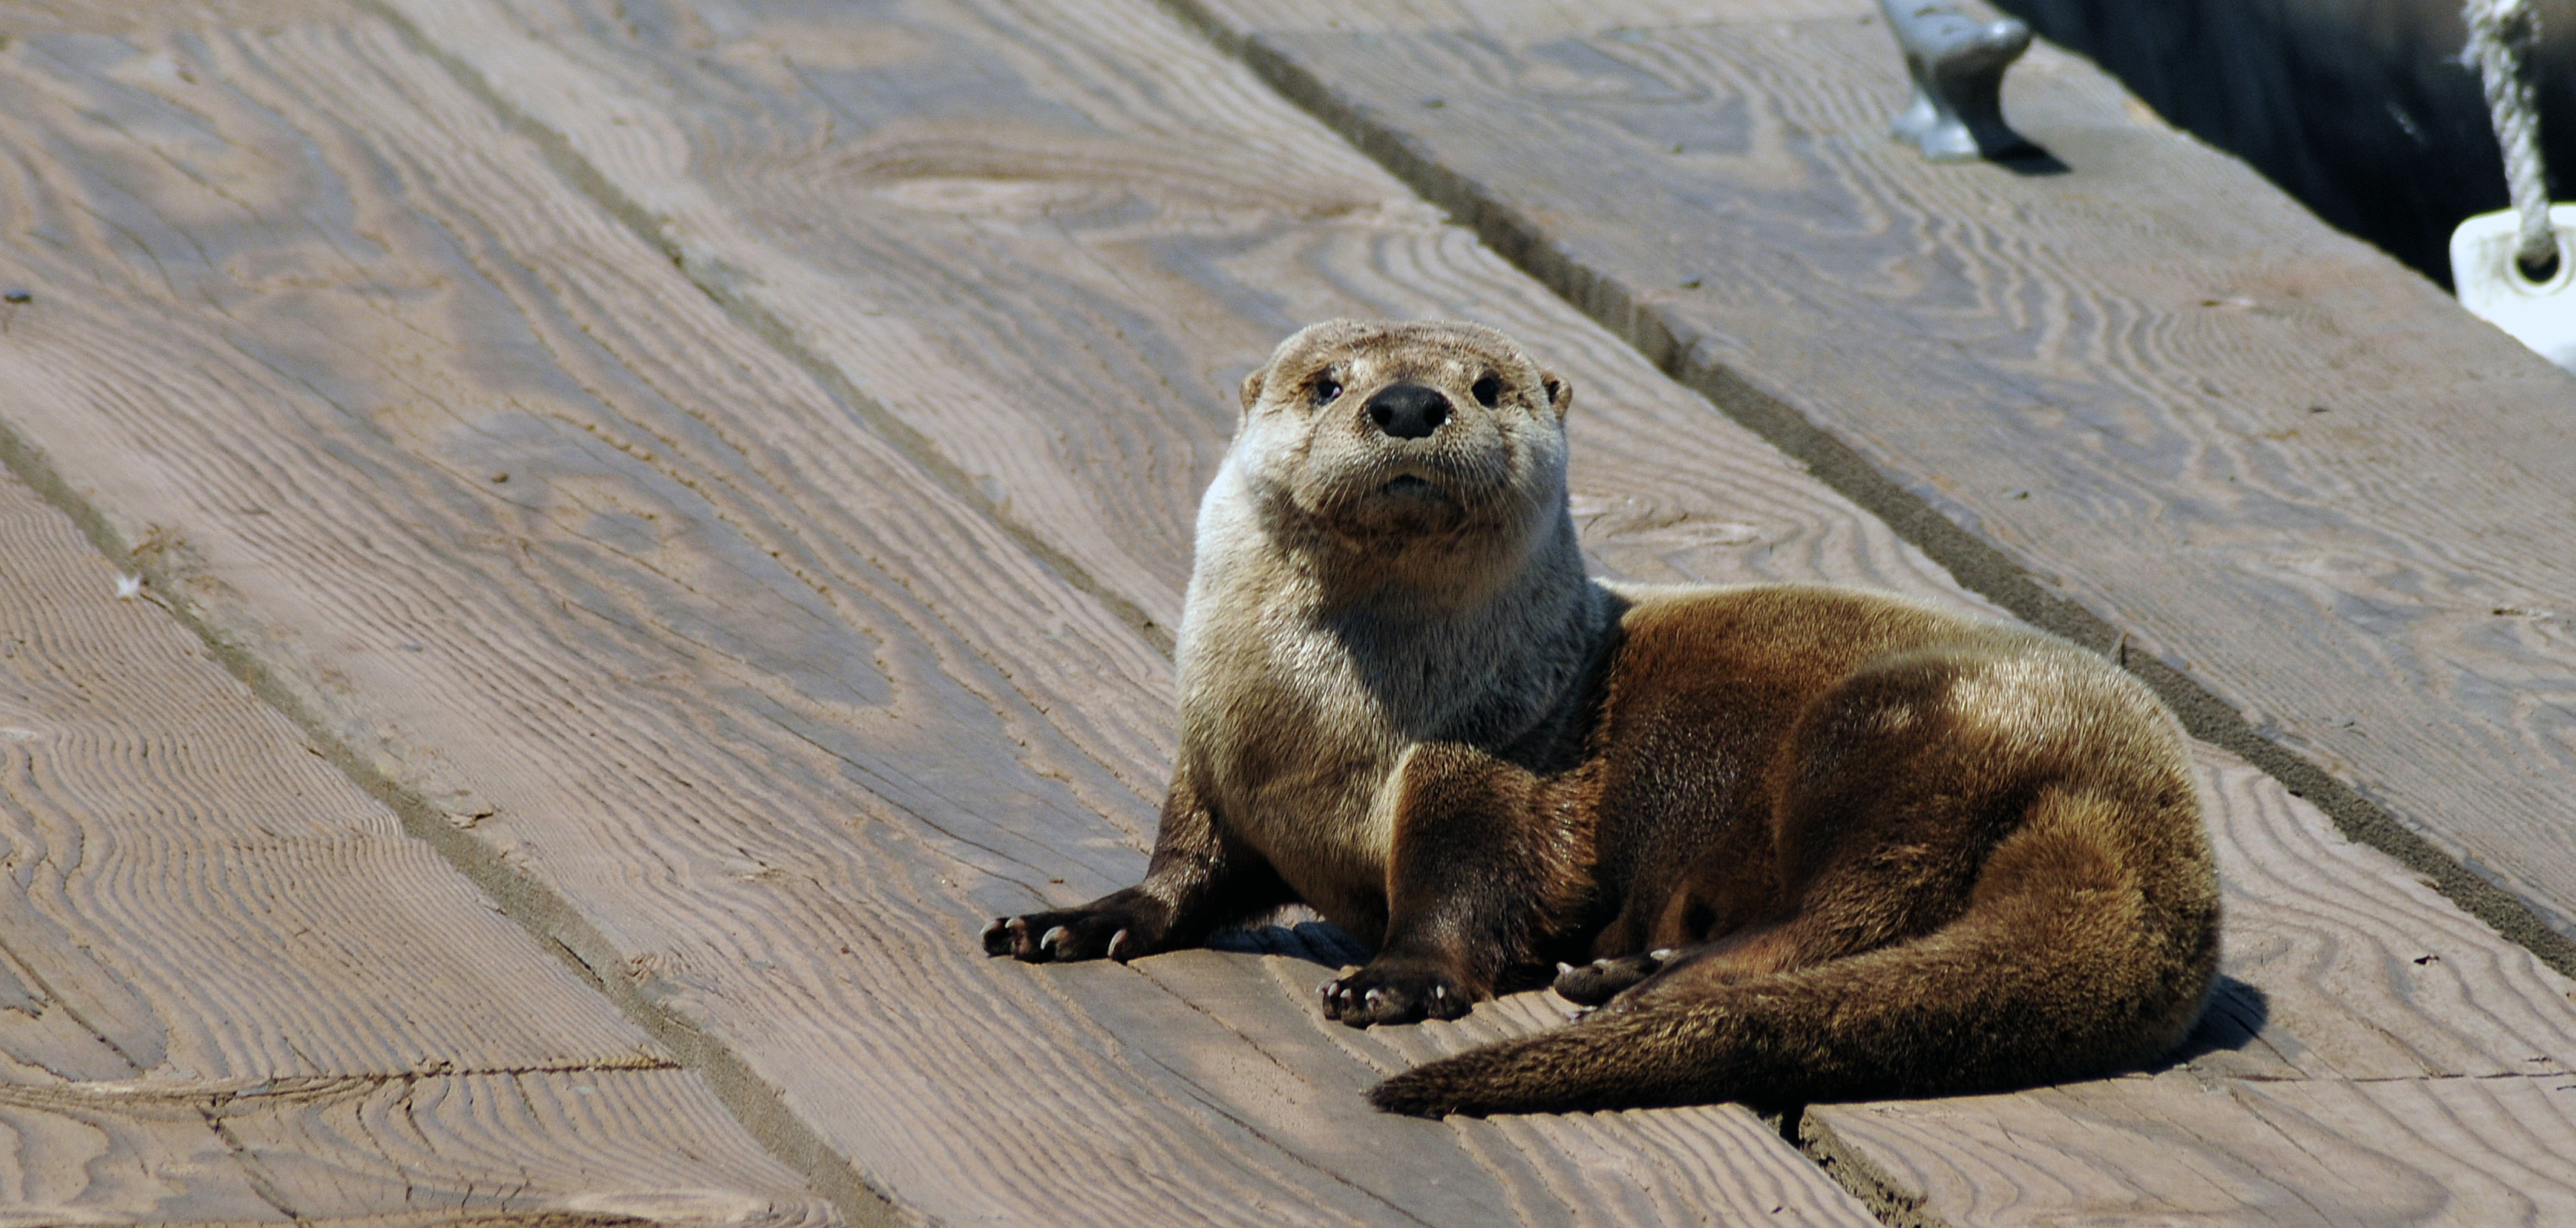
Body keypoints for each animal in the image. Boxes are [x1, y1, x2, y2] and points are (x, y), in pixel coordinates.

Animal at [983, 319, 2219, 1117]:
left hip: (1888, 728)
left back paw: (1633, 982)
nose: (1407, 403)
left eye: (1487, 385)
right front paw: (1078, 918)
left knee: (1857, 905)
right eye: (1326, 381)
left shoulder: (1498, 766)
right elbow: (1184, 865)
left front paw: (1398, 977)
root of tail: (2159, 827)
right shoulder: (1213, 759)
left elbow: (1476, 883)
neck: (1326, 731)